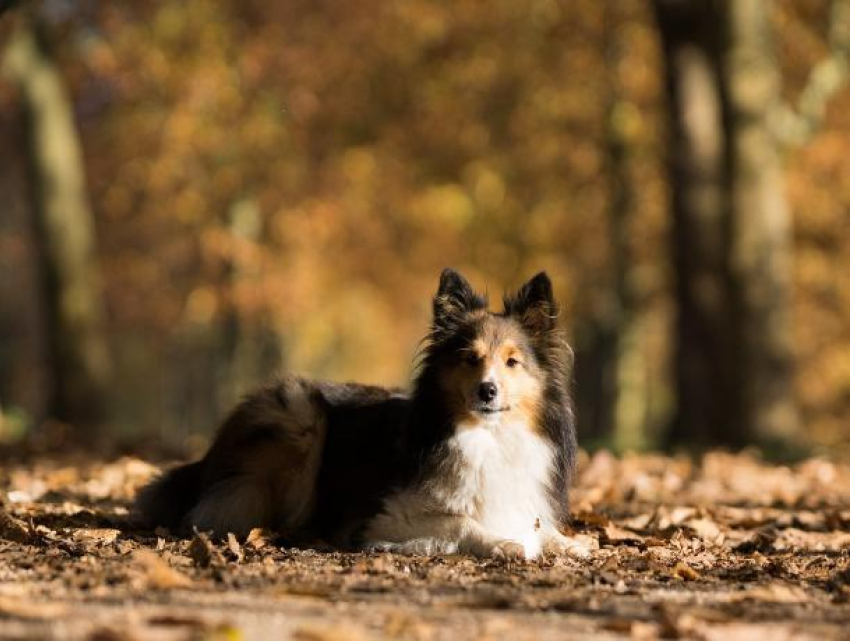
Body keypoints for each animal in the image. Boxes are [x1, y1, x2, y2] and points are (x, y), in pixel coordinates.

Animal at [137, 268, 576, 556]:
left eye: (512, 362)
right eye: (471, 359)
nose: (488, 391)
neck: (488, 437)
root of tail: (206, 459)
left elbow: (540, 525)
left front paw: (568, 542)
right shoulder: (385, 515)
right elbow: (463, 522)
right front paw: (506, 542)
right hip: (298, 412)